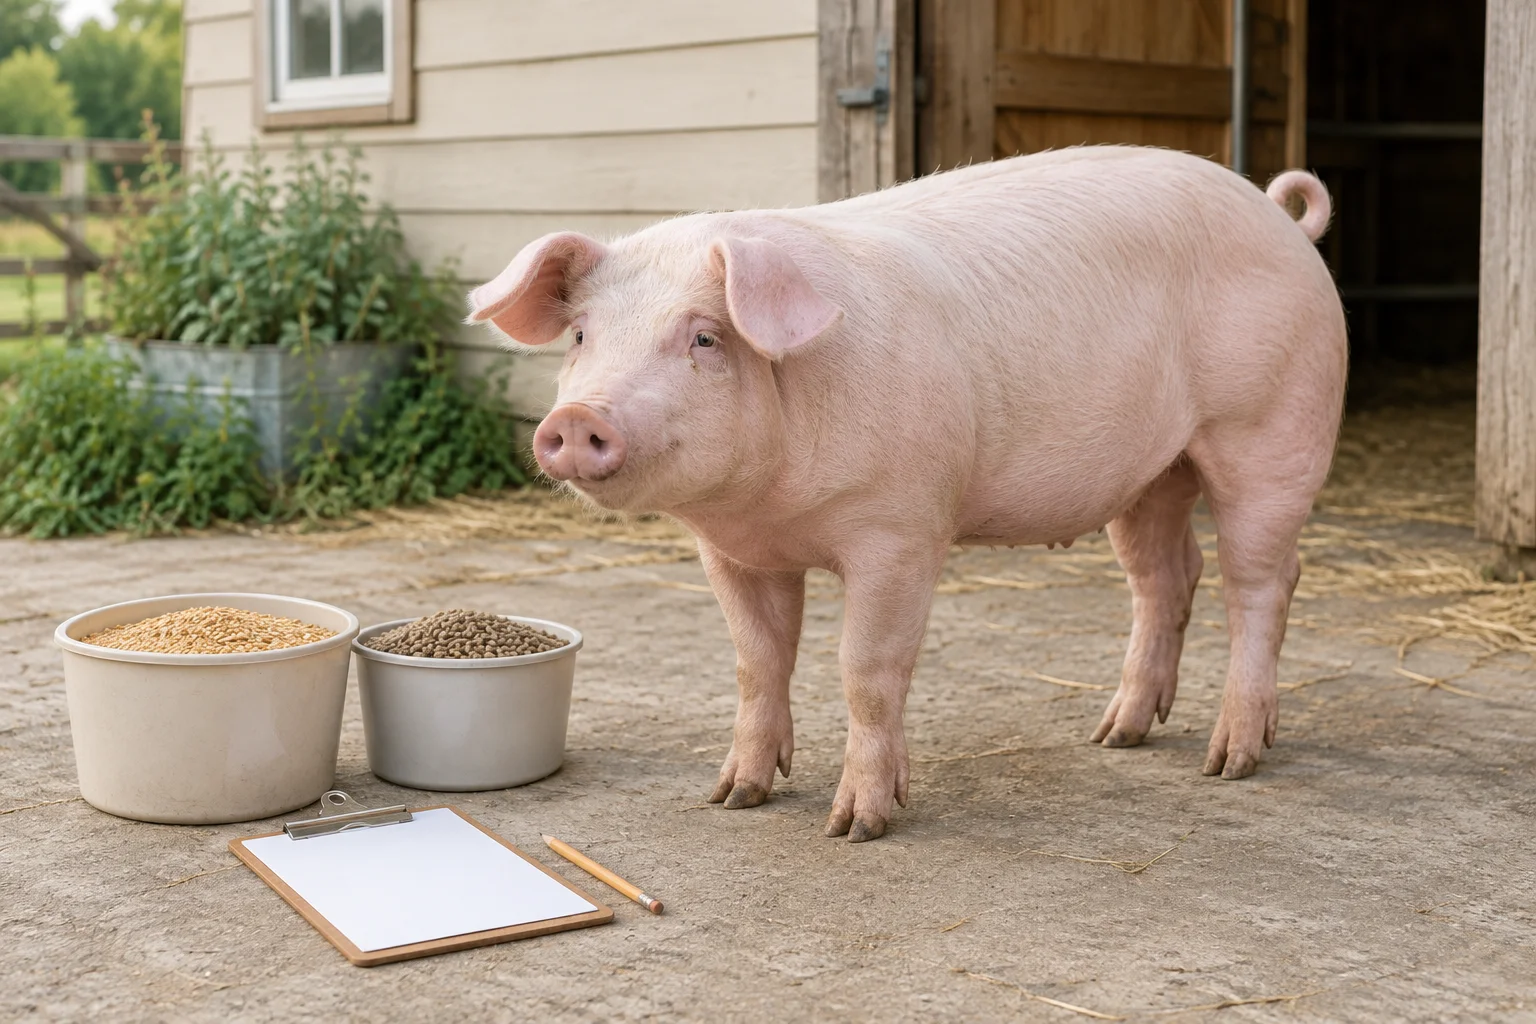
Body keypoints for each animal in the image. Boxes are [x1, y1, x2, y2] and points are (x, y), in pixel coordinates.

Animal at [467, 145, 1345, 843]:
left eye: (705, 338)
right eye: (583, 336)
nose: (576, 419)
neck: (774, 511)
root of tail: (1279, 216)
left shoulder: (900, 529)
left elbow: (865, 668)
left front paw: (856, 827)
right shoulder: (733, 551)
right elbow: (756, 662)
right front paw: (734, 797)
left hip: (1270, 430)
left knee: (1263, 582)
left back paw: (1229, 761)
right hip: (1151, 472)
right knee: (1166, 576)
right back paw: (1115, 736)